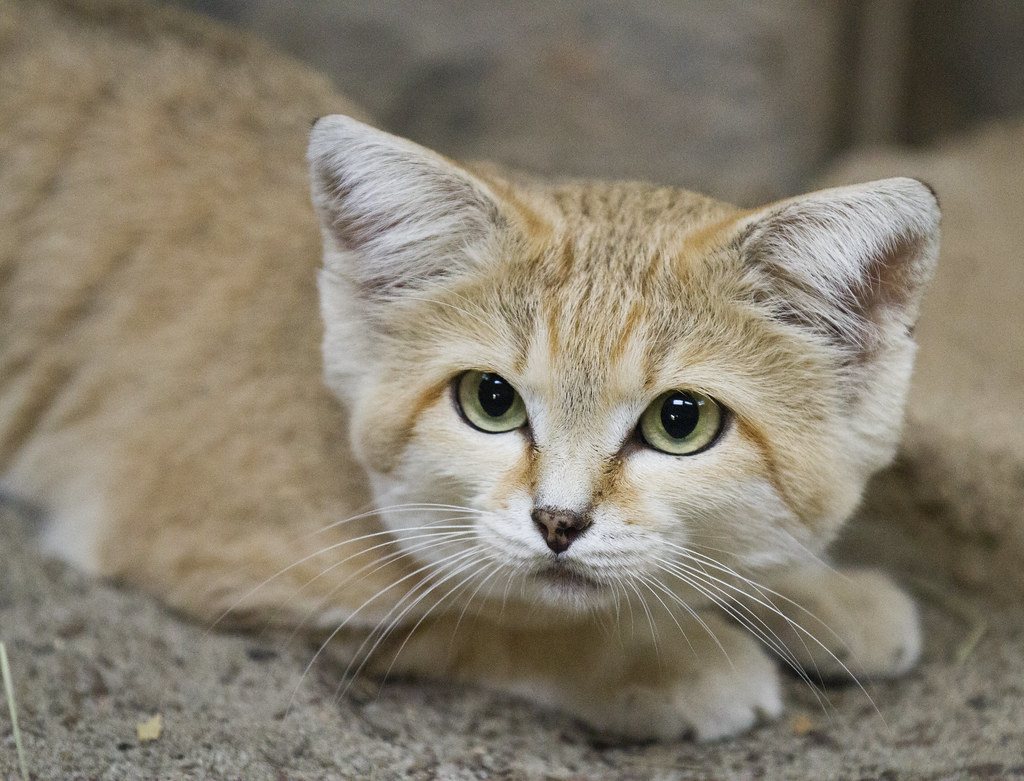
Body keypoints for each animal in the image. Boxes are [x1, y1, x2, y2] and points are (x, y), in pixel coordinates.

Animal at [2, 1, 937, 745]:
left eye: (682, 421)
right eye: (490, 401)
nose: (558, 522)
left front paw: (814, 590)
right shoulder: (211, 546)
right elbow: (486, 615)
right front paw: (664, 655)